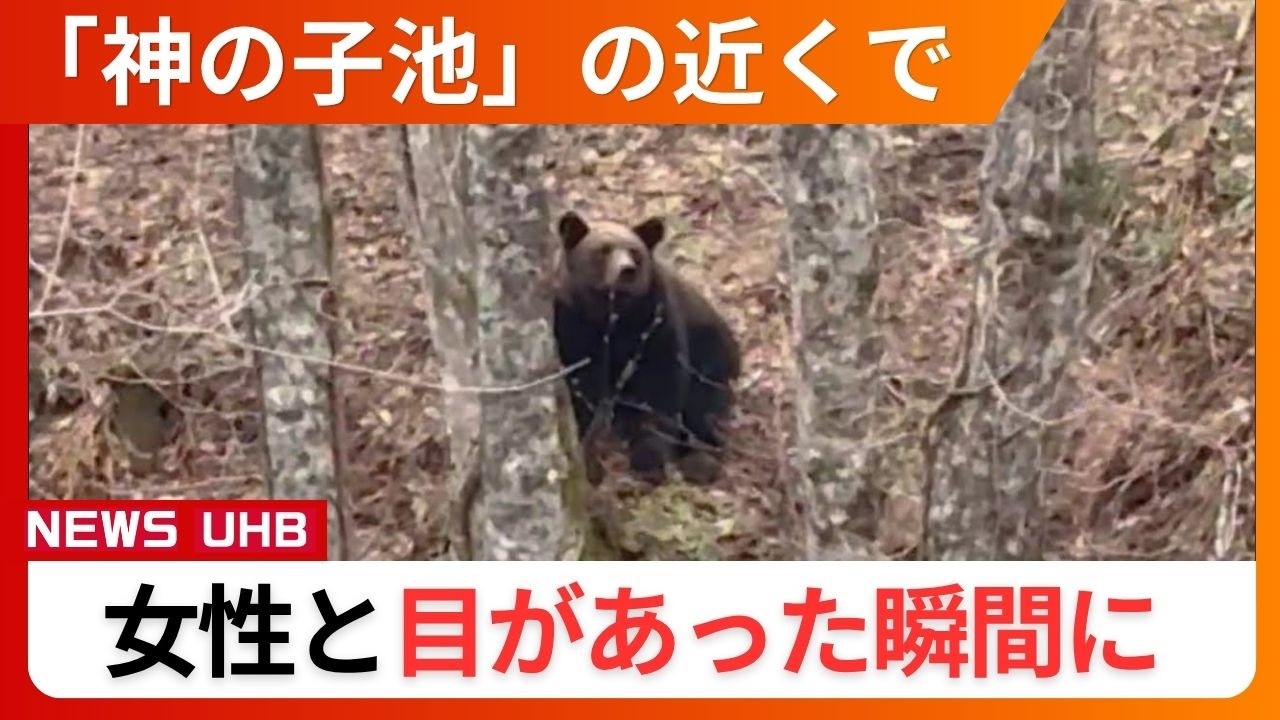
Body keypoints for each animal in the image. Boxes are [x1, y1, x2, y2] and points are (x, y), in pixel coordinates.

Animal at [551, 209, 741, 487]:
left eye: (635, 252)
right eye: (603, 250)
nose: (626, 270)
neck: (612, 318)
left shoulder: (656, 323)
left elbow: (659, 391)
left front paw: (649, 461)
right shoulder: (572, 329)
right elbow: (580, 391)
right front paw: (591, 464)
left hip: (712, 356)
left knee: (701, 409)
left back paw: (701, 458)